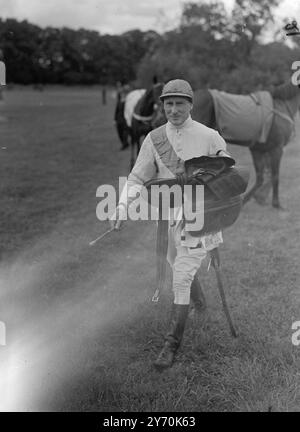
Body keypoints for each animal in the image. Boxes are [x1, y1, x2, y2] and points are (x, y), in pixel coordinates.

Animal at [152, 82, 300, 210]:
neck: (280, 105)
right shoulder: (277, 149)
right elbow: (275, 176)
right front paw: (276, 203)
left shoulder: (259, 149)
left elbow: (261, 177)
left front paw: (254, 199)